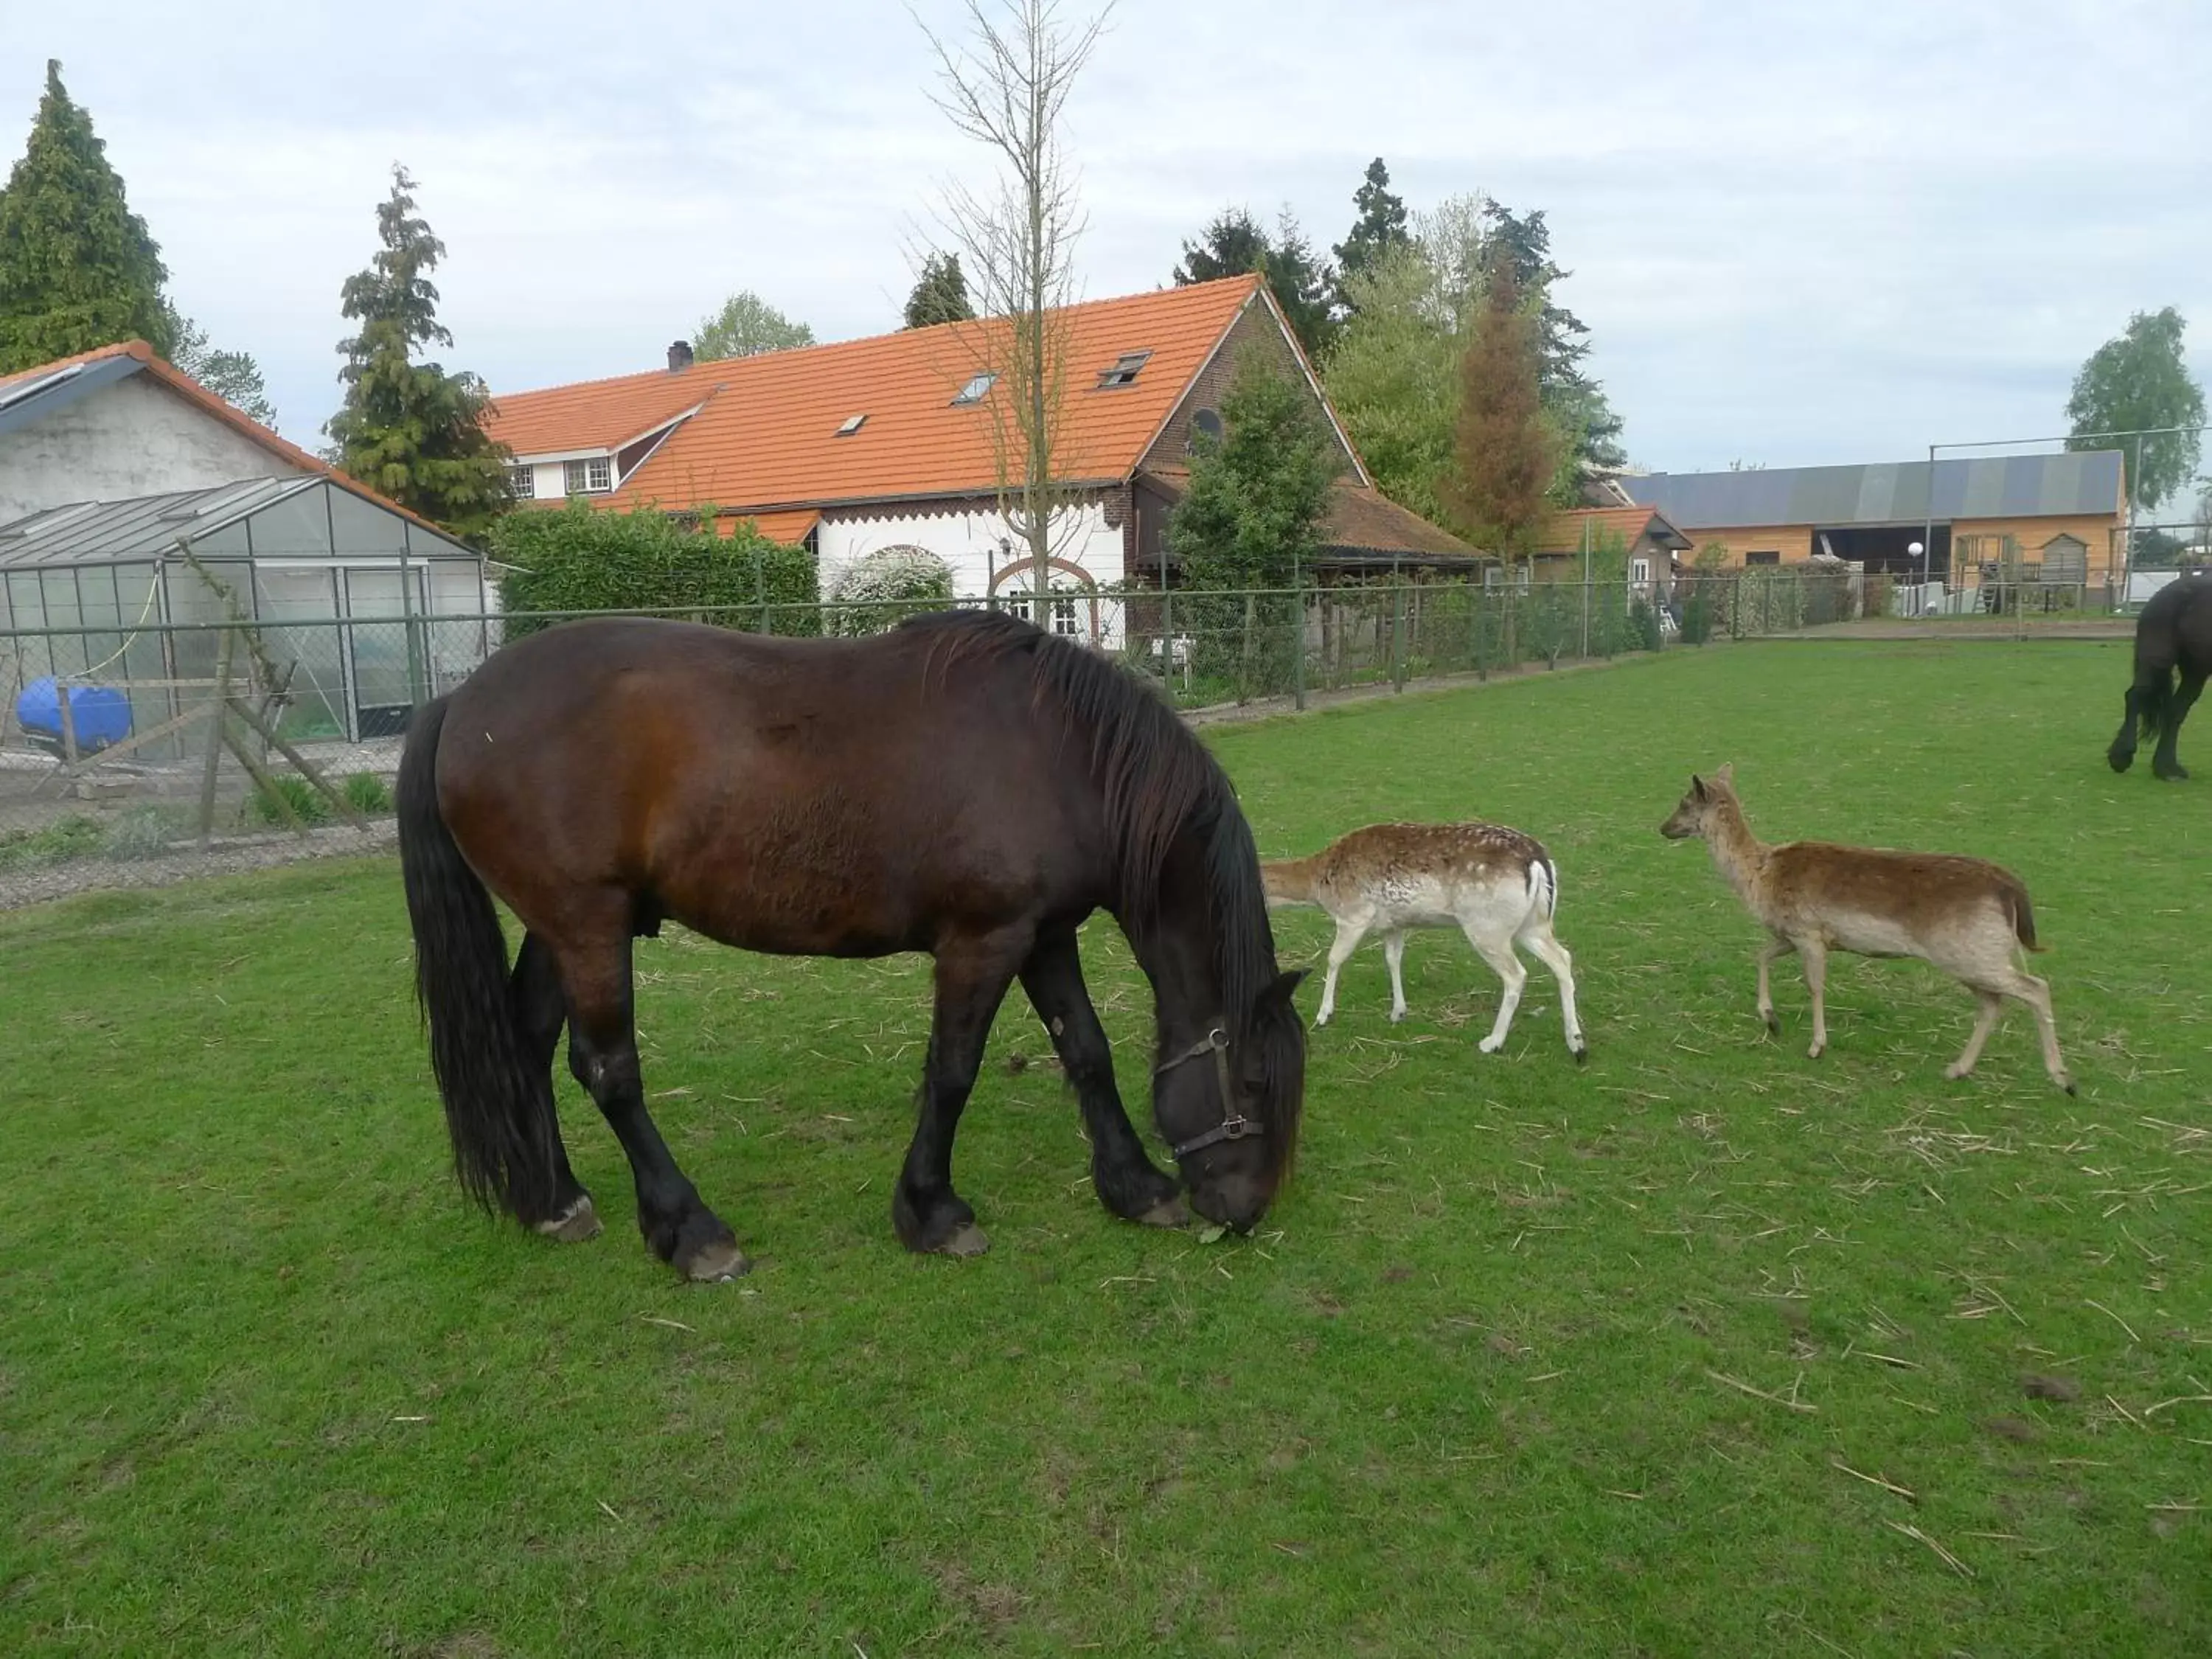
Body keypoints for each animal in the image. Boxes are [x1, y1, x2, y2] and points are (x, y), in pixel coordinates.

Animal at [398, 611, 1301, 1283]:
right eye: (1254, 1082)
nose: (1248, 1212)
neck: (1059, 754)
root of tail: (461, 701)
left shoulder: (1043, 934)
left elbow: (1086, 1050)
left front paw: (1136, 1186)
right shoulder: (984, 941)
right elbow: (953, 1072)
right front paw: (933, 1212)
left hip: (566, 928)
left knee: (526, 1042)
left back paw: (554, 1201)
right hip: (587, 926)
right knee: (608, 1072)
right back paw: (691, 1231)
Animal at [1265, 823, 1593, 1066]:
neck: (1321, 886)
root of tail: (1538, 861)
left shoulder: (1353, 916)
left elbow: (1334, 959)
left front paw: (1324, 1015)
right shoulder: (1394, 924)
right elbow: (1392, 959)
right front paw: (1398, 1012)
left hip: (1487, 926)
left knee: (1516, 974)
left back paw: (1492, 1042)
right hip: (1532, 925)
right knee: (1562, 958)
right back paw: (1576, 1044)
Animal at [1663, 765, 2070, 1097]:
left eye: (1684, 802)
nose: (1662, 827)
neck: (1760, 876)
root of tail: (2011, 890)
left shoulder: (1808, 932)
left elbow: (1814, 985)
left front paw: (1816, 1046)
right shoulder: (1791, 934)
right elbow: (1761, 954)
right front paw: (1771, 1019)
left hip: (1971, 952)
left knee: (2035, 988)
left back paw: (2064, 1079)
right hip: (1973, 956)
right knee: (1993, 1003)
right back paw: (1958, 1070)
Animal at [2106, 575, 2212, 783]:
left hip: (2196, 669)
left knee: (2175, 711)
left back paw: (2167, 768)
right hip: (2159, 659)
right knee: (2136, 697)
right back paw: (2122, 757)